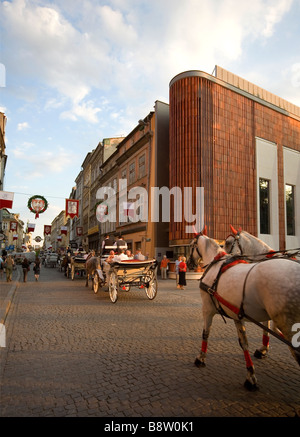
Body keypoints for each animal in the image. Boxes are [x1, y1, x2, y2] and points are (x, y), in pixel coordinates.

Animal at [188, 227, 300, 390]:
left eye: (191, 245)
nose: (189, 263)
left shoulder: (207, 309)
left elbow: (205, 333)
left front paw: (201, 357)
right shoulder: (236, 314)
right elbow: (244, 342)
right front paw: (251, 374)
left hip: (287, 322)